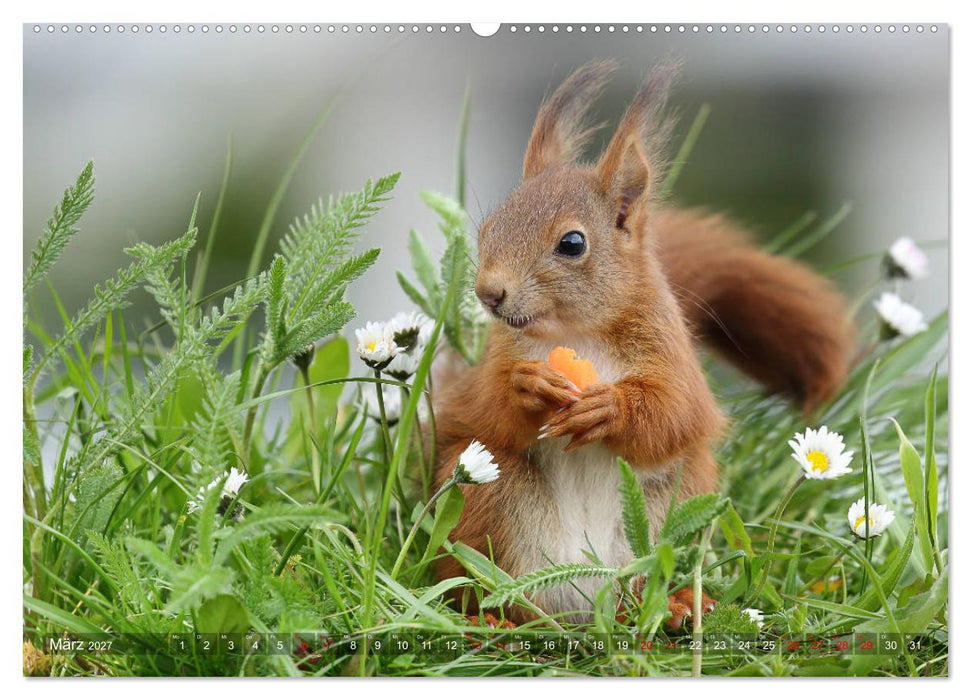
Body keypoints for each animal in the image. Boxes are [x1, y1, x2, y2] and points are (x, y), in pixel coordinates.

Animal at [431, 60, 853, 627]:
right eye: (490, 227)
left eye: (572, 243)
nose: (489, 293)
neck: (576, 334)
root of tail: (582, 605)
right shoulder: (491, 367)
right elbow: (486, 408)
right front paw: (528, 385)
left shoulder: (672, 354)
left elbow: (676, 412)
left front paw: (610, 408)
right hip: (487, 498)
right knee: (480, 581)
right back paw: (489, 617)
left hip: (669, 507)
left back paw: (674, 606)